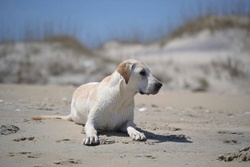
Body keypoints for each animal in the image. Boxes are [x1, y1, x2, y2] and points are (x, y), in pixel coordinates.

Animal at [32, 59, 162, 145]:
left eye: (149, 72)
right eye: (142, 72)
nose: (160, 84)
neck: (121, 98)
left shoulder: (127, 122)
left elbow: (131, 127)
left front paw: (137, 133)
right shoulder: (91, 122)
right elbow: (91, 129)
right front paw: (91, 137)